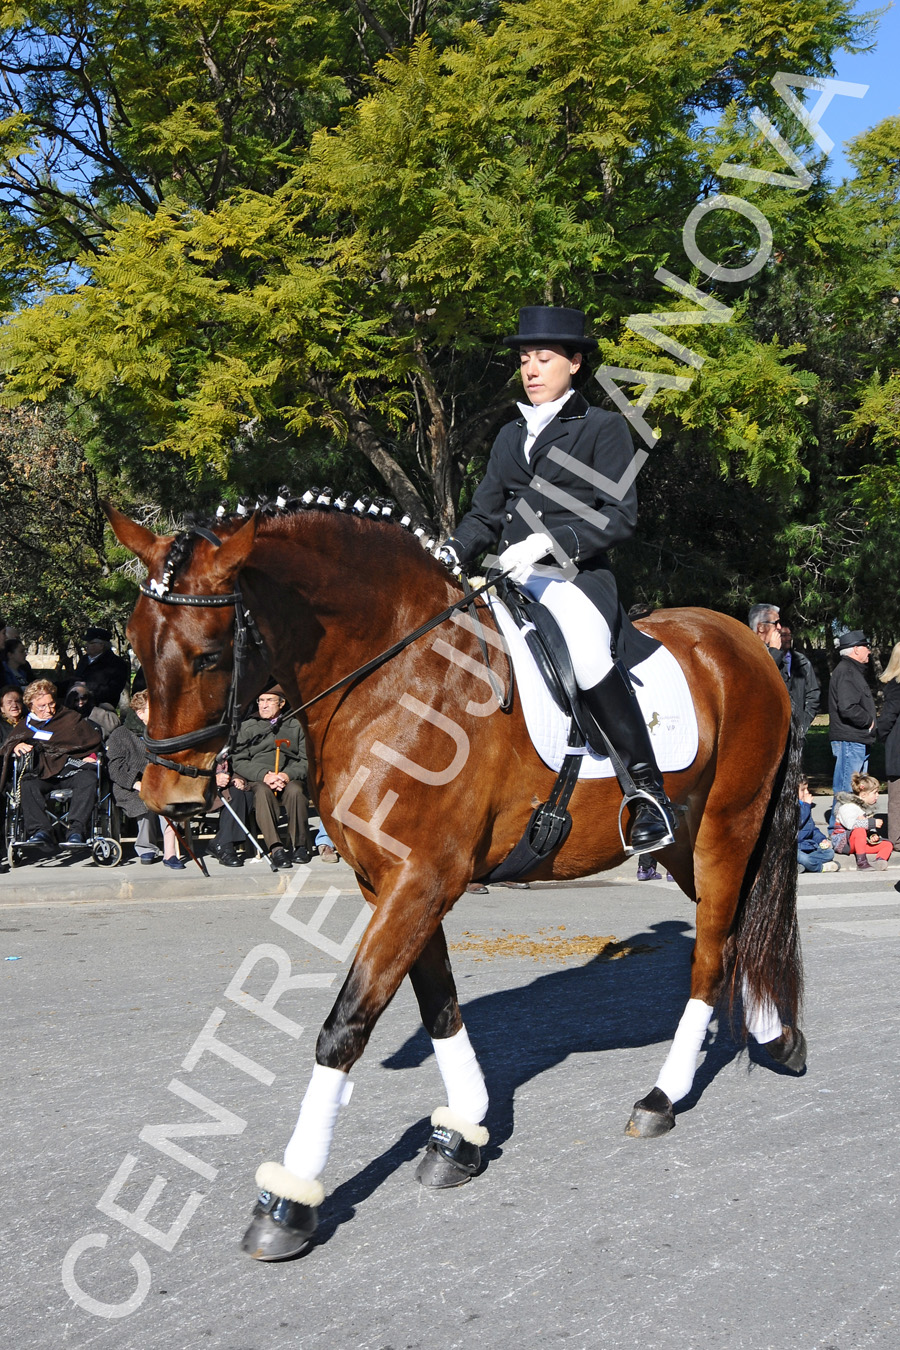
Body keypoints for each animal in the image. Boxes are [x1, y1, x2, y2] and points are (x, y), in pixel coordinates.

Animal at [105, 499, 804, 1263]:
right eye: (135, 644)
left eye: (208, 653)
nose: (165, 796)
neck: (394, 676)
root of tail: (745, 642)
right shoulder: (392, 881)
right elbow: (437, 1003)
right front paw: (461, 1133)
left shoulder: (423, 877)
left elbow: (345, 1024)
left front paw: (290, 1197)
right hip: (684, 845)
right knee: (733, 932)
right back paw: (777, 1036)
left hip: (726, 829)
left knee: (711, 952)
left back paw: (663, 1097)